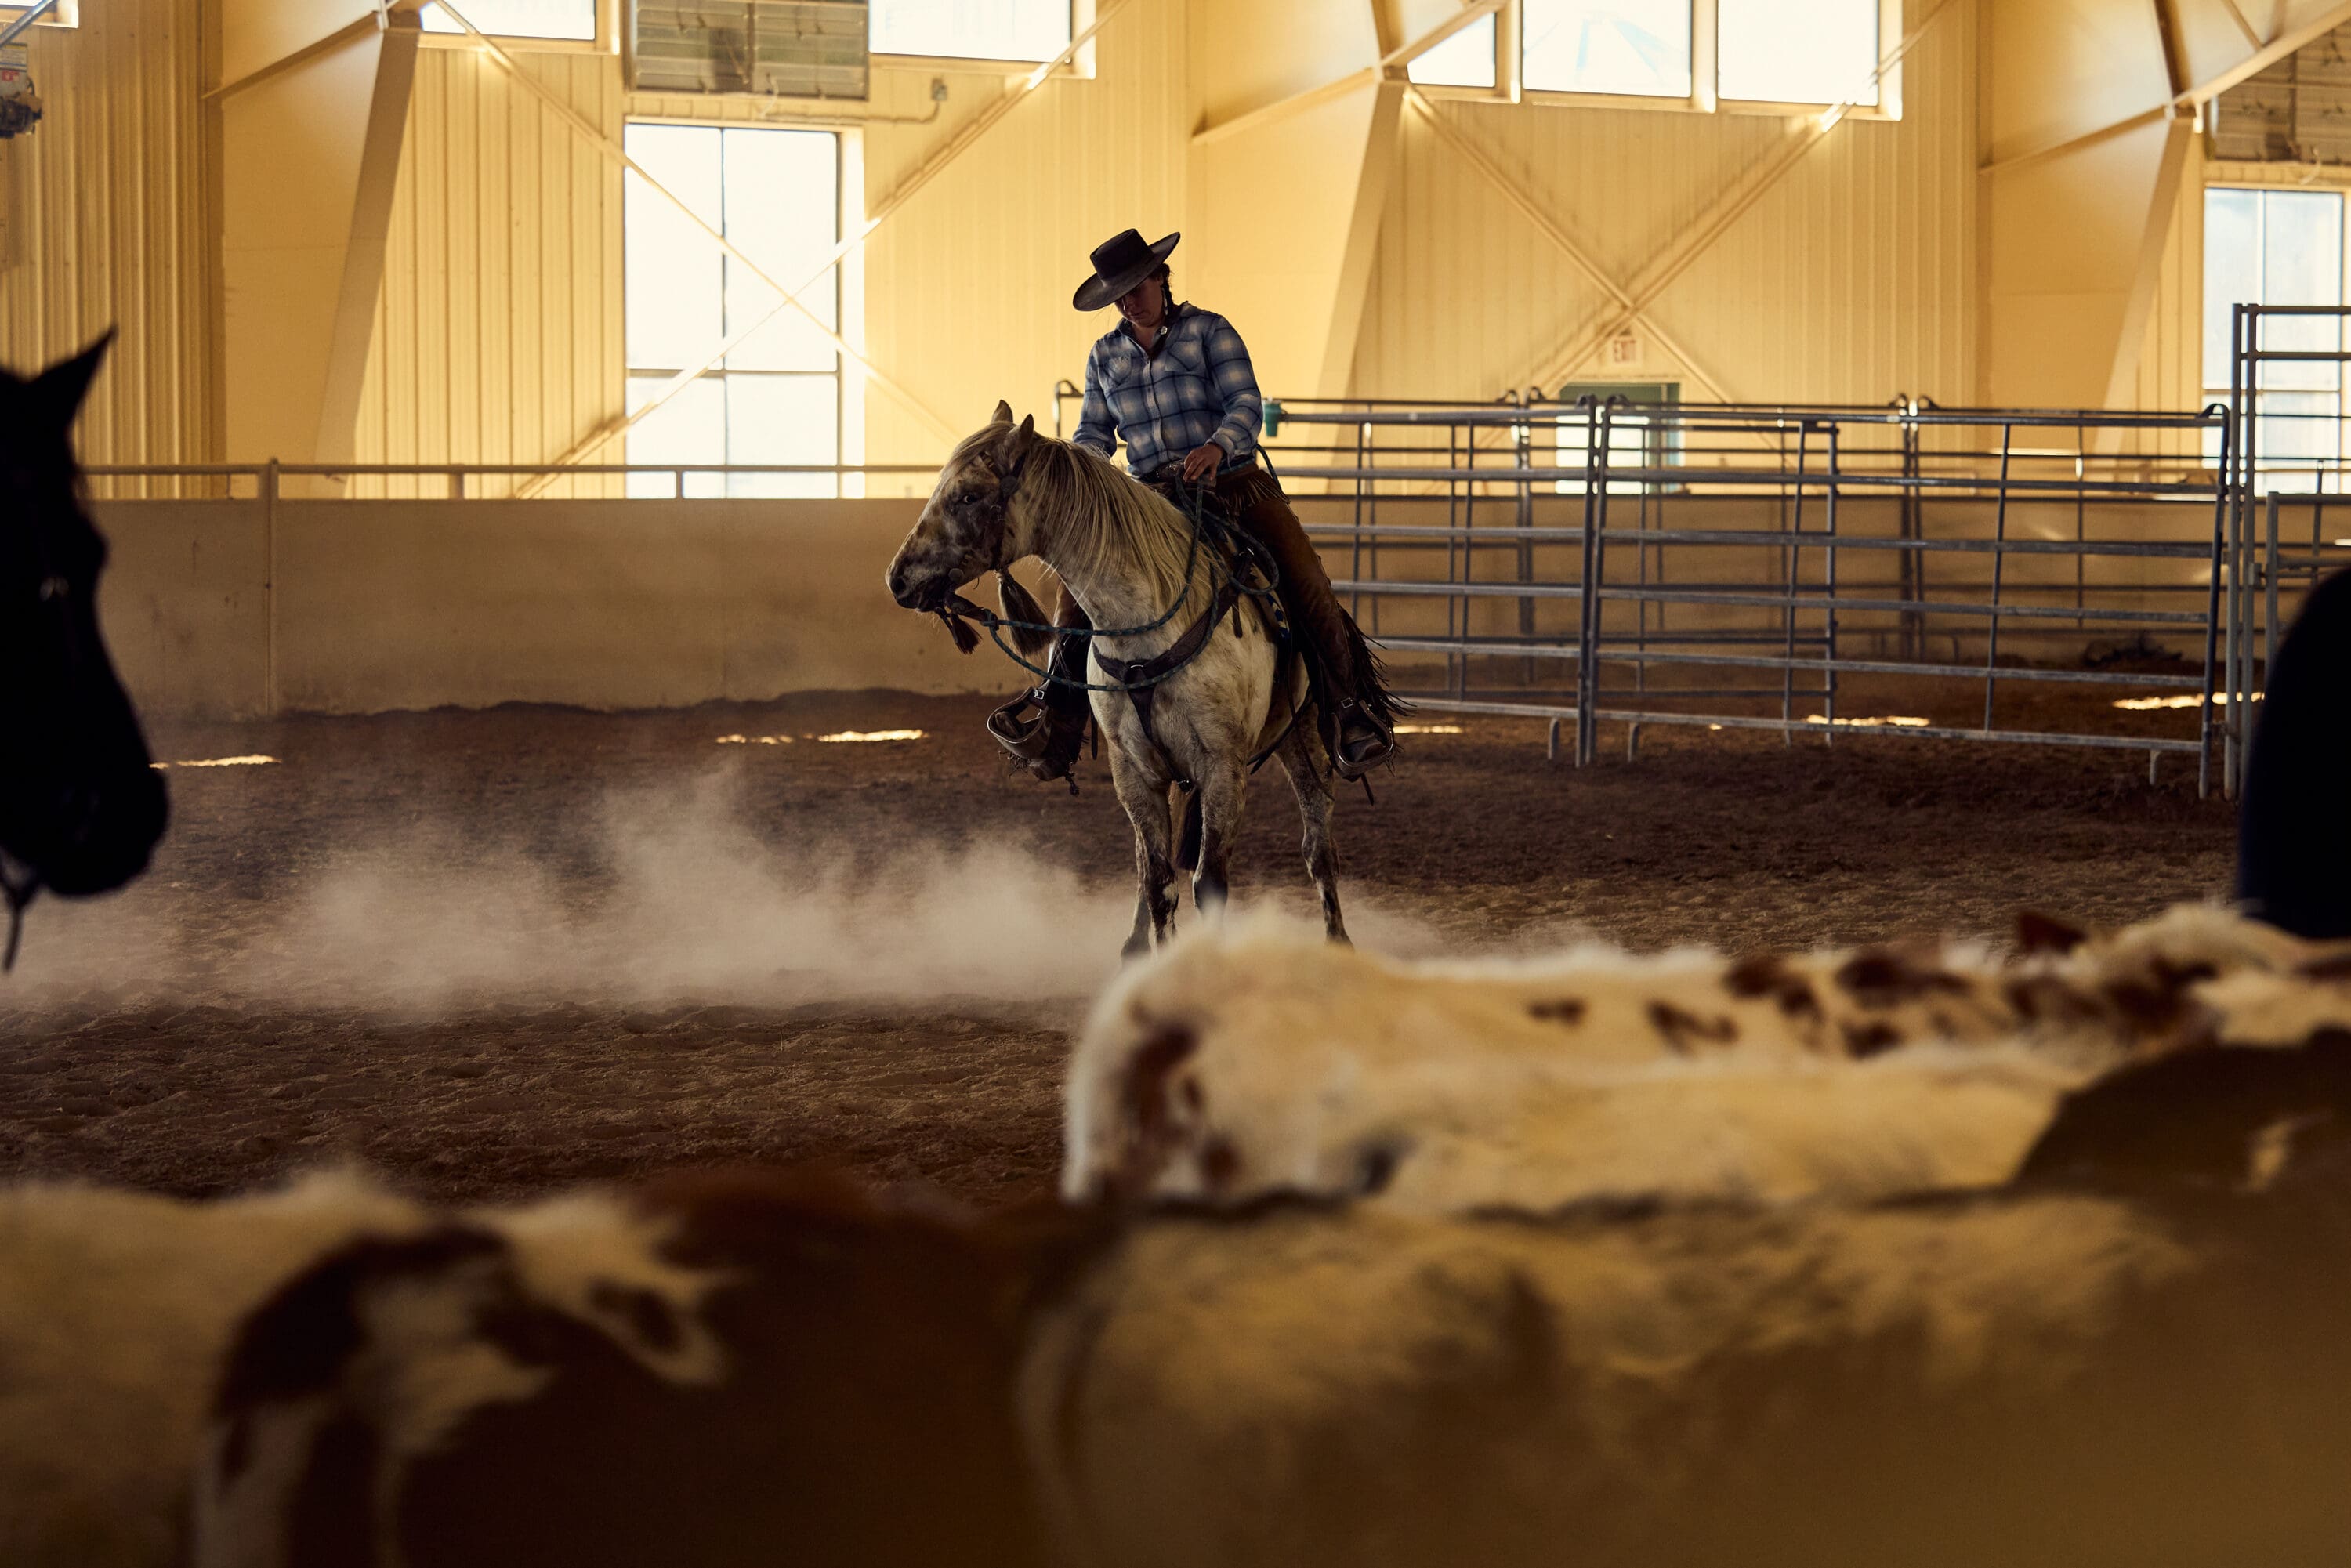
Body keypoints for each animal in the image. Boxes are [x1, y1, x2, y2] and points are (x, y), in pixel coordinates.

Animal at [885, 402, 1345, 956]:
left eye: (969, 495)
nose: (898, 579)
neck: (1146, 624)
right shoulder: (1134, 772)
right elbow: (1158, 882)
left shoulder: (1223, 768)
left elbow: (1208, 884)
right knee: (1150, 863)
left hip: (1303, 736)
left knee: (1318, 844)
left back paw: (1340, 940)